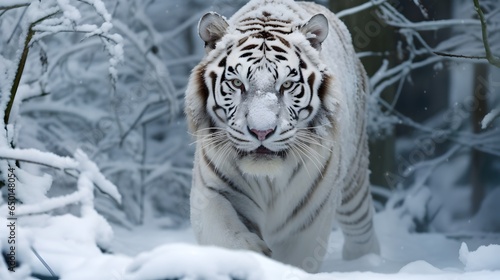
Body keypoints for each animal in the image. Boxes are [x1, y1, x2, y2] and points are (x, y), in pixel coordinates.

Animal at [187, 0, 378, 272]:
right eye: (237, 83)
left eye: (287, 85)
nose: (261, 131)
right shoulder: (213, 193)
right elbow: (228, 238)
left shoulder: (309, 217)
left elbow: (296, 260)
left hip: (354, 180)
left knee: (361, 229)